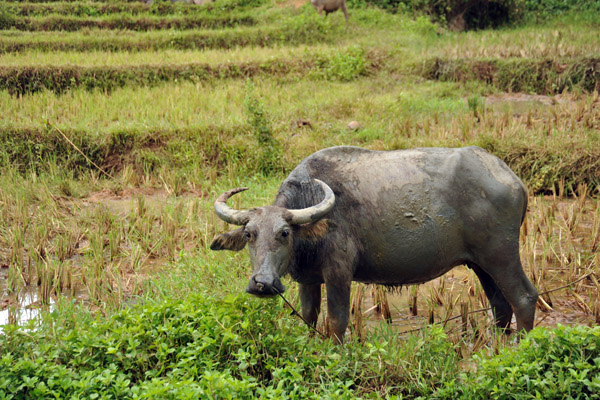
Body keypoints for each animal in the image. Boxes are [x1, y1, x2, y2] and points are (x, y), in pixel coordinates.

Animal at [211, 145, 540, 342]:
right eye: (250, 234)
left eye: (284, 233)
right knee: (500, 304)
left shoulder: (339, 275)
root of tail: (513, 179)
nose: (262, 284)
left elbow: (337, 320)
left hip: (501, 256)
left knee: (524, 297)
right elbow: (309, 317)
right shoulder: (309, 280)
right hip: (480, 264)